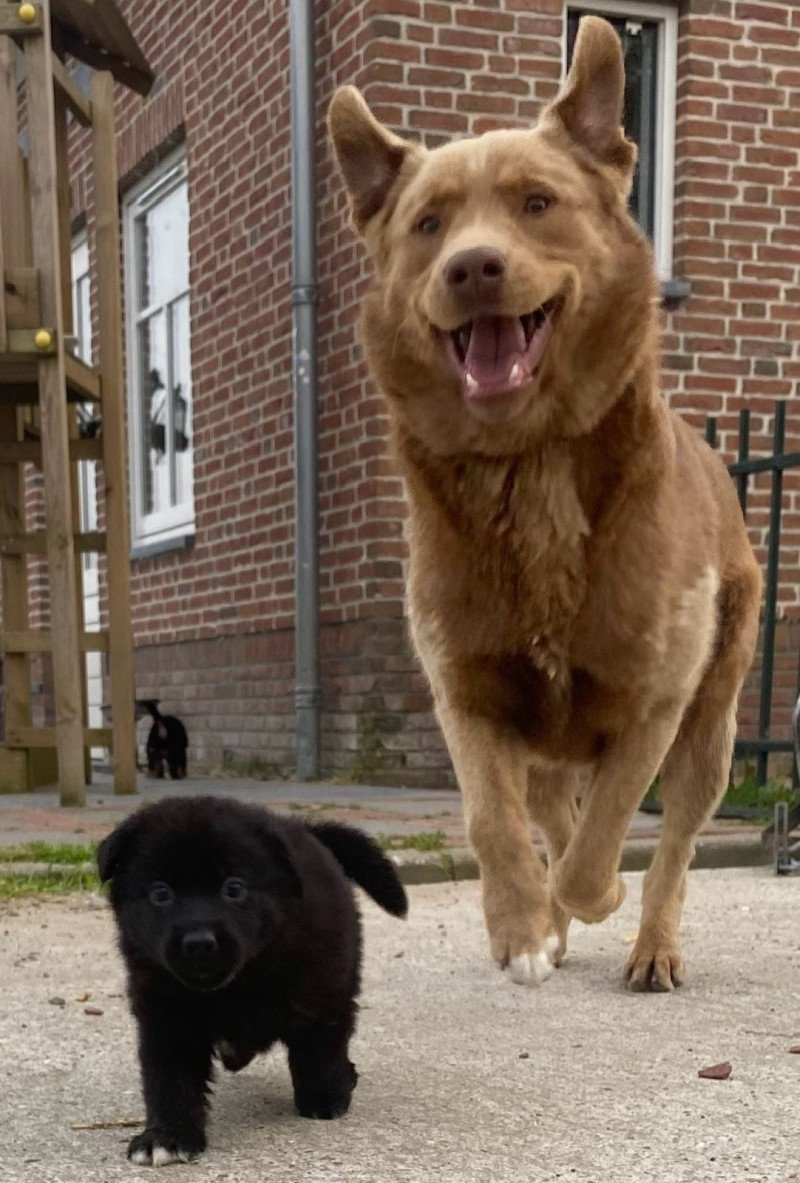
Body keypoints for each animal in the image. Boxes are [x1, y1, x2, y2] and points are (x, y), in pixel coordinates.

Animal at [98, 794, 407, 1164]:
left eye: (234, 888)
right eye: (160, 893)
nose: (198, 942)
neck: (236, 984)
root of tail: (309, 829)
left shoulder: (322, 989)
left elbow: (320, 1047)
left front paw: (325, 1097)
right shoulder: (167, 1016)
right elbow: (170, 1079)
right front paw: (166, 1137)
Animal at [326, 18, 762, 993]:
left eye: (537, 203)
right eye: (429, 223)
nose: (473, 267)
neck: (530, 470)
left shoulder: (654, 701)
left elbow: (606, 841)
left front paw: (585, 902)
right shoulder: (469, 692)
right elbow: (496, 823)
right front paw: (525, 926)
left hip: (712, 726)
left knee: (671, 846)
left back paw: (649, 944)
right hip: (546, 739)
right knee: (555, 807)